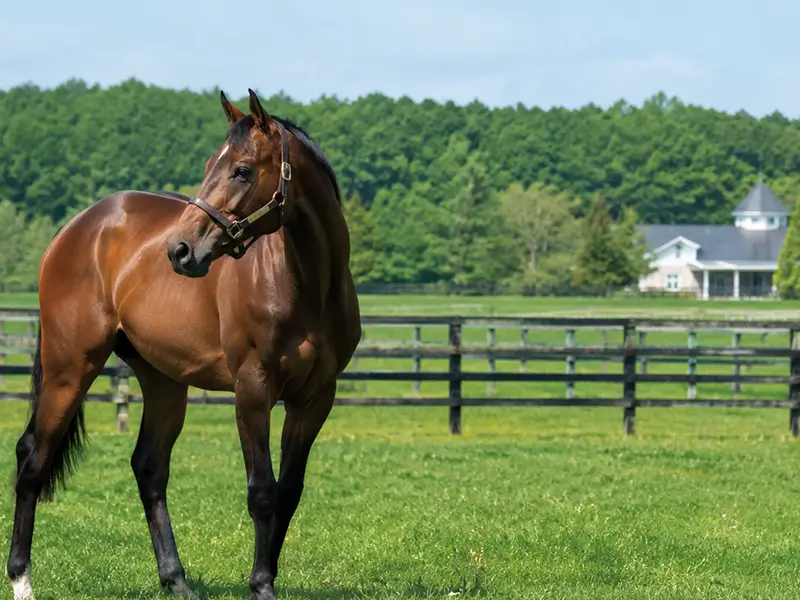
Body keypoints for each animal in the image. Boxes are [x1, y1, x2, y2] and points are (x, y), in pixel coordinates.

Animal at [5, 89, 362, 600]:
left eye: (242, 170)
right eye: (212, 164)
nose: (180, 250)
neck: (305, 286)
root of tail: (77, 227)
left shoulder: (315, 398)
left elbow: (289, 492)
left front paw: (267, 576)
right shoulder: (253, 390)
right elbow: (262, 491)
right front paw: (261, 585)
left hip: (163, 380)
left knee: (149, 468)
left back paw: (176, 581)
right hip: (69, 368)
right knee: (32, 457)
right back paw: (21, 579)